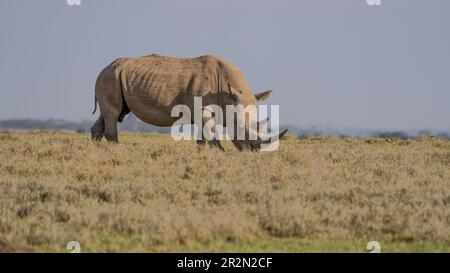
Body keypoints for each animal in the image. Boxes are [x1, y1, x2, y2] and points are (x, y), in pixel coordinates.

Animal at [91, 53, 286, 150]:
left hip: (113, 77)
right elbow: (212, 135)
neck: (228, 91)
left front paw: (204, 154)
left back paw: (97, 151)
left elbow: (202, 138)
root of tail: (104, 67)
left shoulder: (202, 111)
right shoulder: (202, 109)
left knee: (111, 113)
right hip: (109, 76)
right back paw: (117, 149)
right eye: (240, 128)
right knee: (113, 113)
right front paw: (220, 153)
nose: (253, 150)